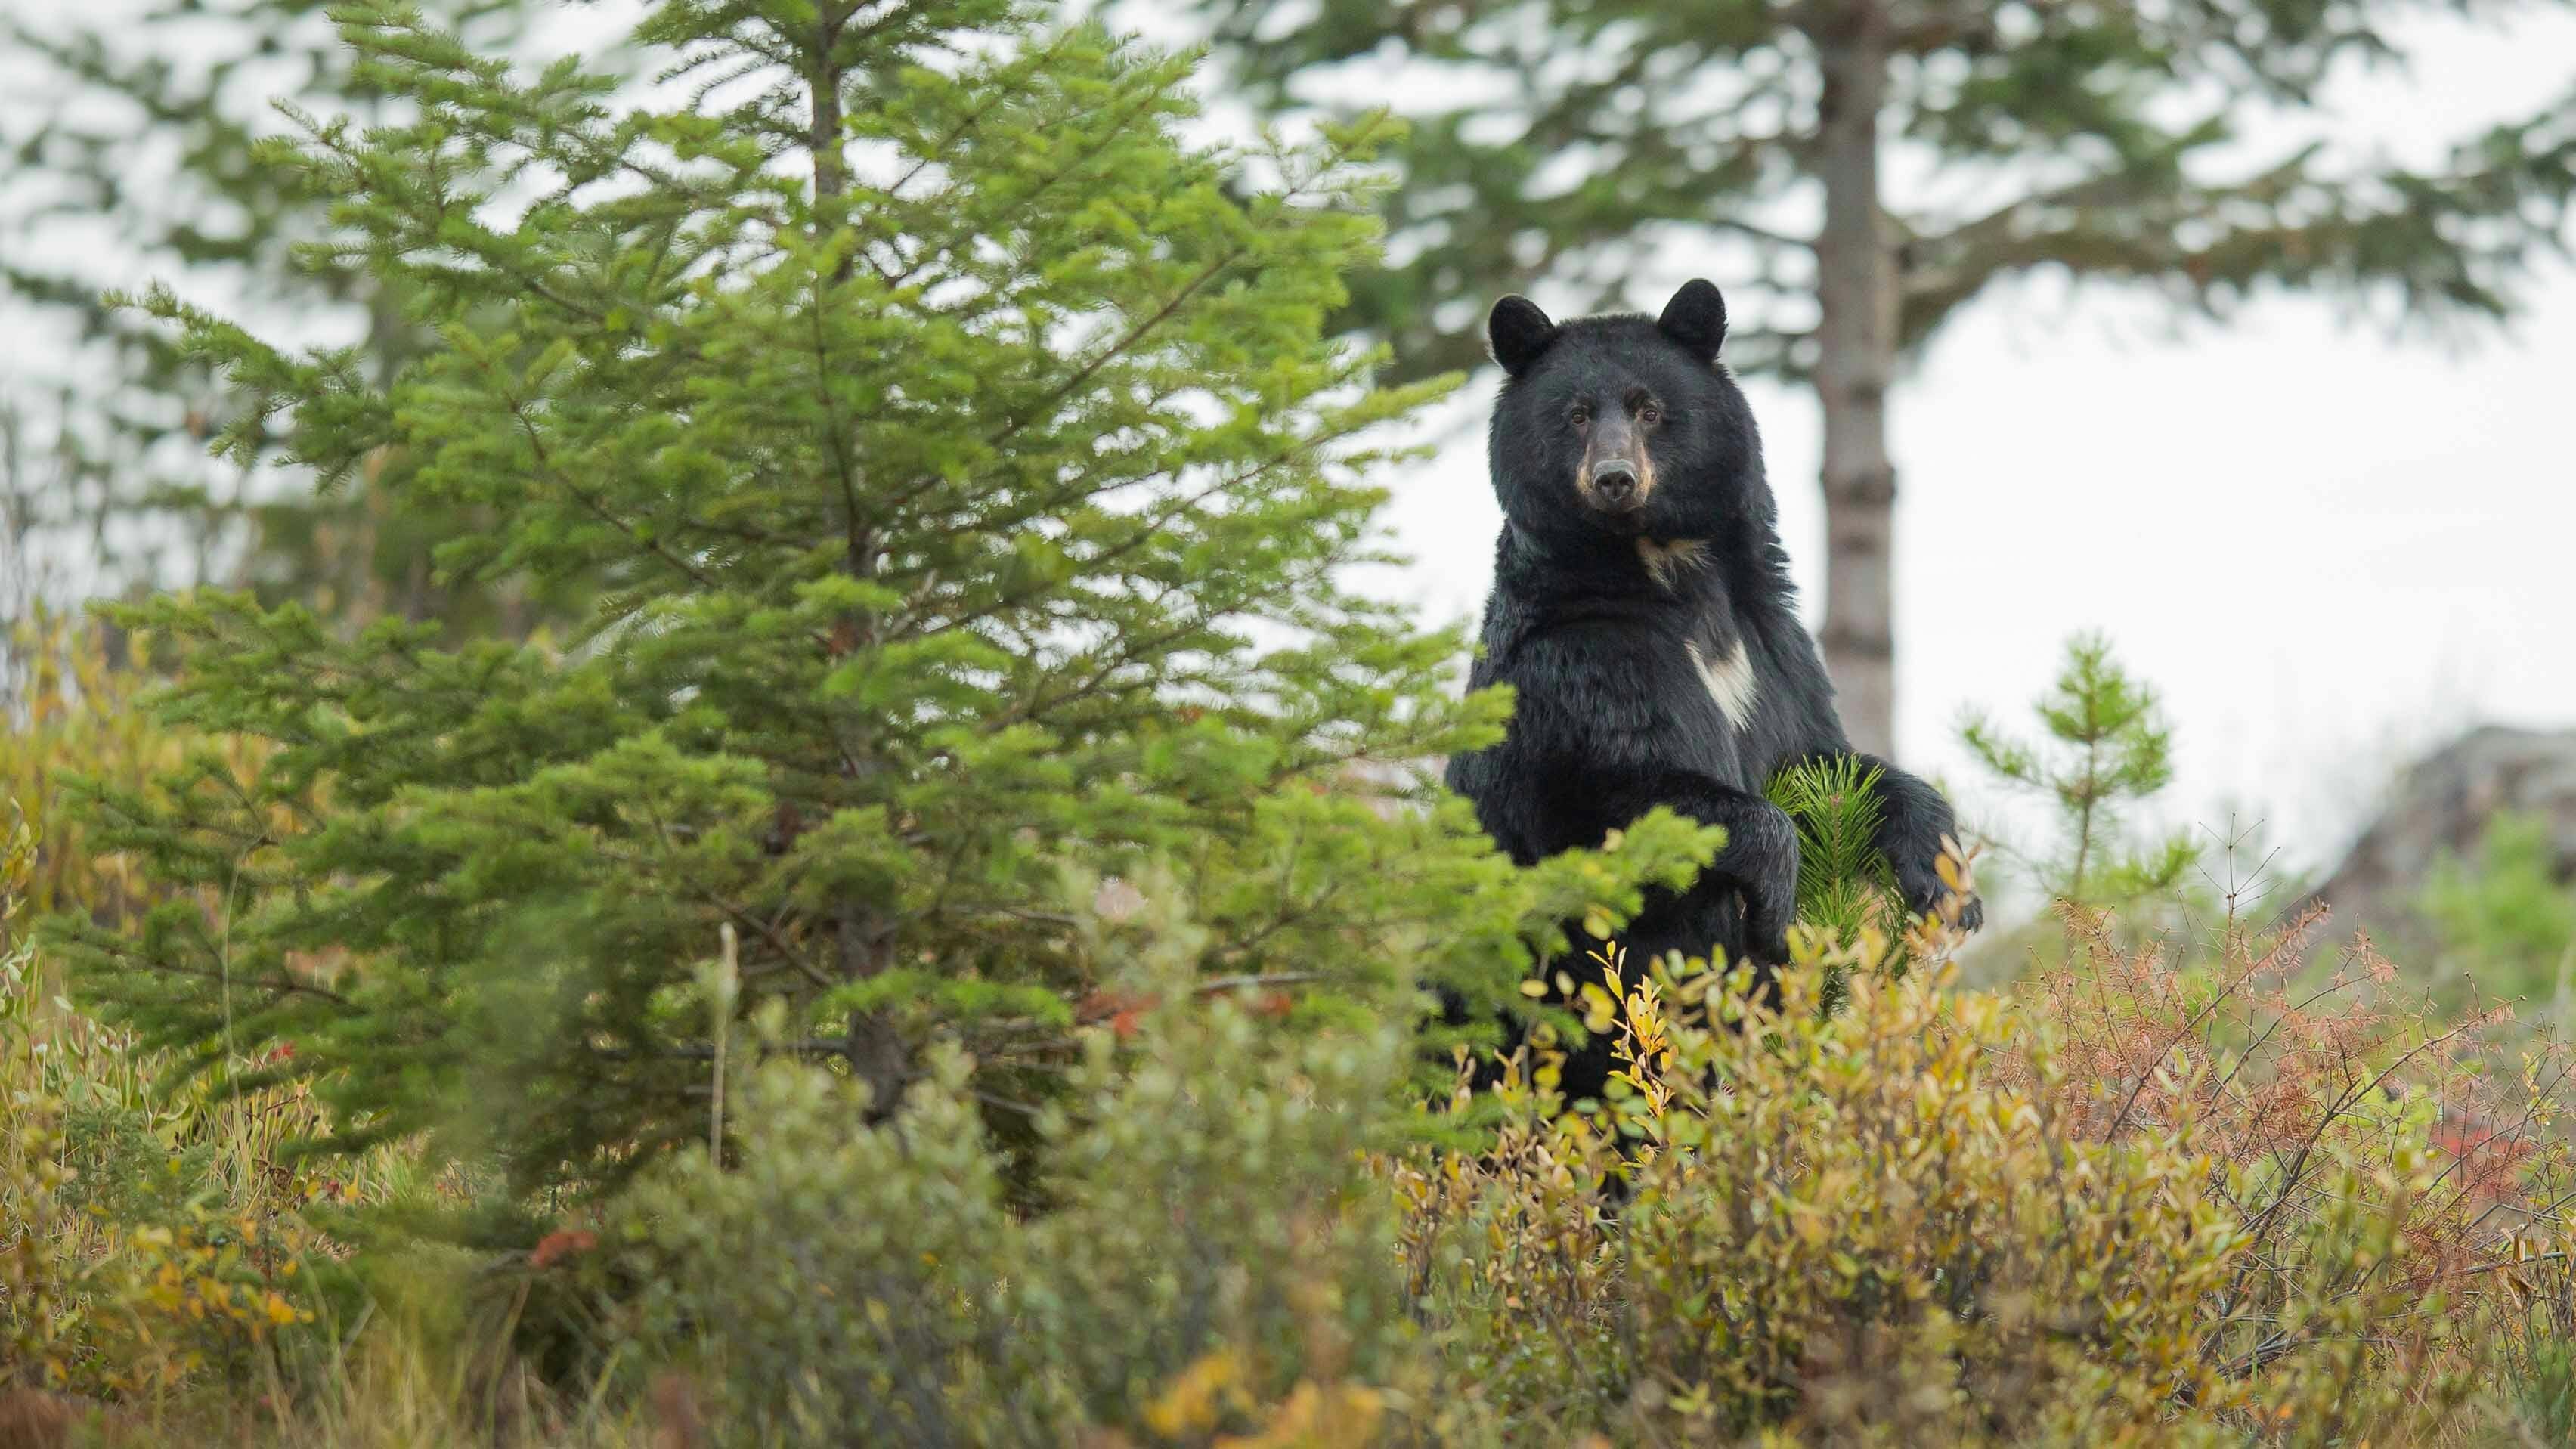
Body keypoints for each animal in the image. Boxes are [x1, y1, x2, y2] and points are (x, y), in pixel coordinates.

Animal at [1444, 278, 1981, 1103]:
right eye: (1575, 414)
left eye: (1649, 408)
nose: (1615, 479)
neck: (1668, 568)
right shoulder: (1583, 660)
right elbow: (1630, 789)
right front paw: (1775, 904)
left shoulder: (1771, 648)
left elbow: (1821, 761)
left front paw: (1947, 884)